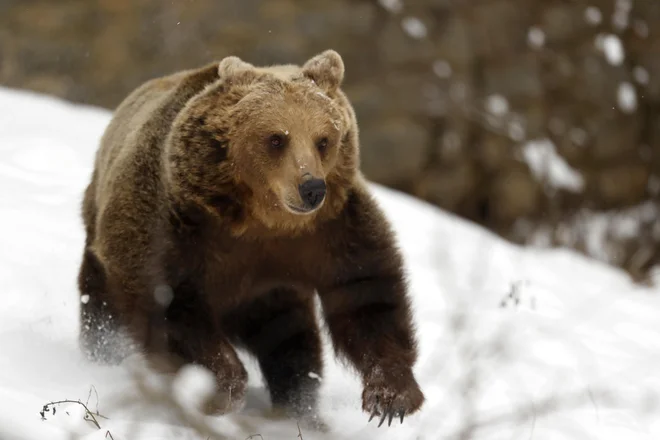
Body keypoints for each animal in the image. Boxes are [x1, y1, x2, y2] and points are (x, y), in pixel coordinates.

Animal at [77, 49, 426, 428]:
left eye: (323, 139)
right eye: (276, 138)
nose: (311, 188)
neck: (260, 218)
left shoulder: (328, 230)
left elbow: (367, 294)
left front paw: (390, 396)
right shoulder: (173, 223)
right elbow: (165, 301)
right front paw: (220, 387)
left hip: (271, 298)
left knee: (292, 342)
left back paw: (298, 406)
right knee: (101, 308)